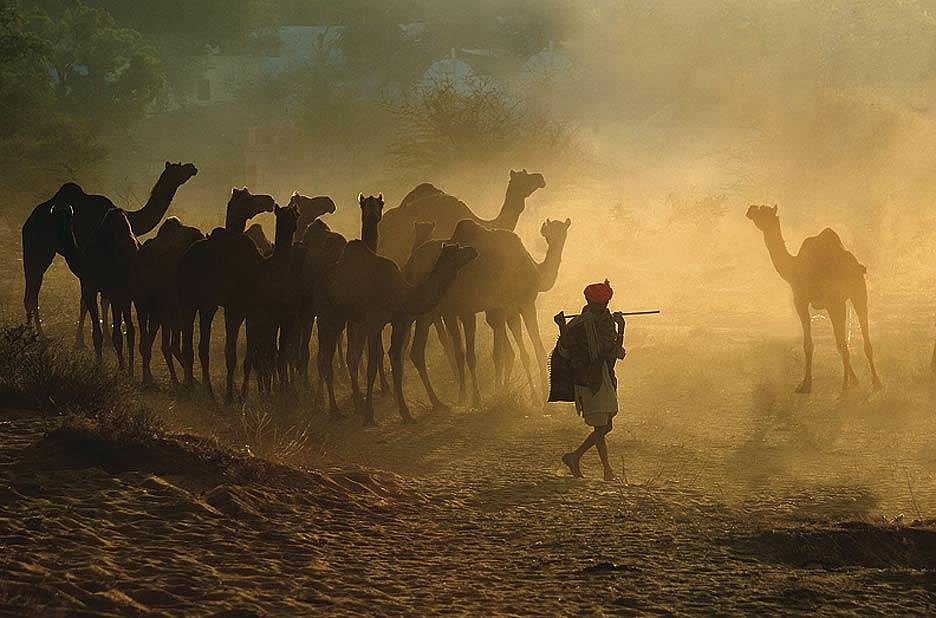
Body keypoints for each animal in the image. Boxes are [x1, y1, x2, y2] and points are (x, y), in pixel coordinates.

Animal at [21, 161, 197, 339]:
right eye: (179, 168)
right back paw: (37, 334)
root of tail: (28, 222)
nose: (192, 168)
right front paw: (86, 338)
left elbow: (100, 300)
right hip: (37, 250)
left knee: (31, 293)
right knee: (32, 293)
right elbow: (92, 300)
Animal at [133, 217, 205, 386]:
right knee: (147, 341)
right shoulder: (182, 305)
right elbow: (182, 345)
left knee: (160, 341)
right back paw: (148, 378)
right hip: (143, 303)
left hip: (161, 308)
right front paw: (188, 382)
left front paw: (188, 380)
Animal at [176, 188, 276, 400]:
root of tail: (182, 261)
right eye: (247, 199)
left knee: (202, 347)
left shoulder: (245, 309)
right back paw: (190, 386)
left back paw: (209, 390)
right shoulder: (233, 307)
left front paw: (236, 393)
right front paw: (230, 395)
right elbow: (230, 352)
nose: (269, 200)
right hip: (187, 300)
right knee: (188, 345)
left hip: (207, 306)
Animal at [317, 194, 477, 425]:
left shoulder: (400, 320)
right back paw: (335, 410)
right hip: (329, 316)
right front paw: (369, 416)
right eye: (457, 249)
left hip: (345, 319)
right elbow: (372, 365)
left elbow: (397, 362)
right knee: (325, 358)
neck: (403, 292)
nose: (473, 250)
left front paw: (406, 413)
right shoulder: (374, 322)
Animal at [746, 205, 882, 393]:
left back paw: (845, 386)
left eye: (763, 211)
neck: (793, 267)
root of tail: (853, 265)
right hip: (858, 293)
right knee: (859, 339)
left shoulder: (800, 301)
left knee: (843, 343)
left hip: (836, 299)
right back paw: (875, 382)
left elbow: (808, 344)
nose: (750, 210)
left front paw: (805, 384)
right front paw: (854, 380)